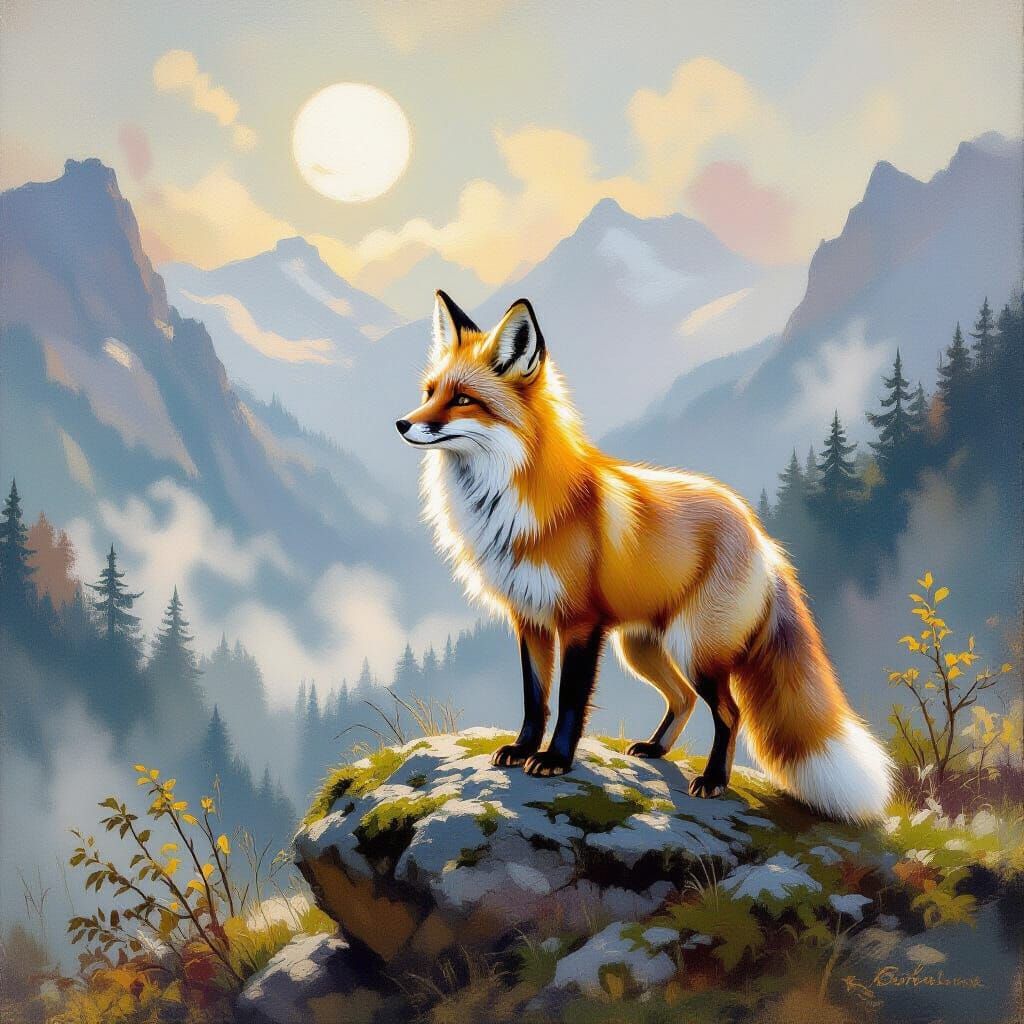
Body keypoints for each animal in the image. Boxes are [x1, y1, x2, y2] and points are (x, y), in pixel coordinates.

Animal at [396, 290, 893, 822]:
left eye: (463, 399)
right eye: (429, 392)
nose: (402, 423)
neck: (510, 505)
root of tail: (761, 535)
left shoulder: (579, 623)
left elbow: (568, 701)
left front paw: (554, 760)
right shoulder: (528, 618)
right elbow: (535, 699)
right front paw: (522, 748)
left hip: (695, 649)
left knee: (729, 711)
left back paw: (714, 780)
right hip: (643, 648)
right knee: (683, 699)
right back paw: (656, 749)